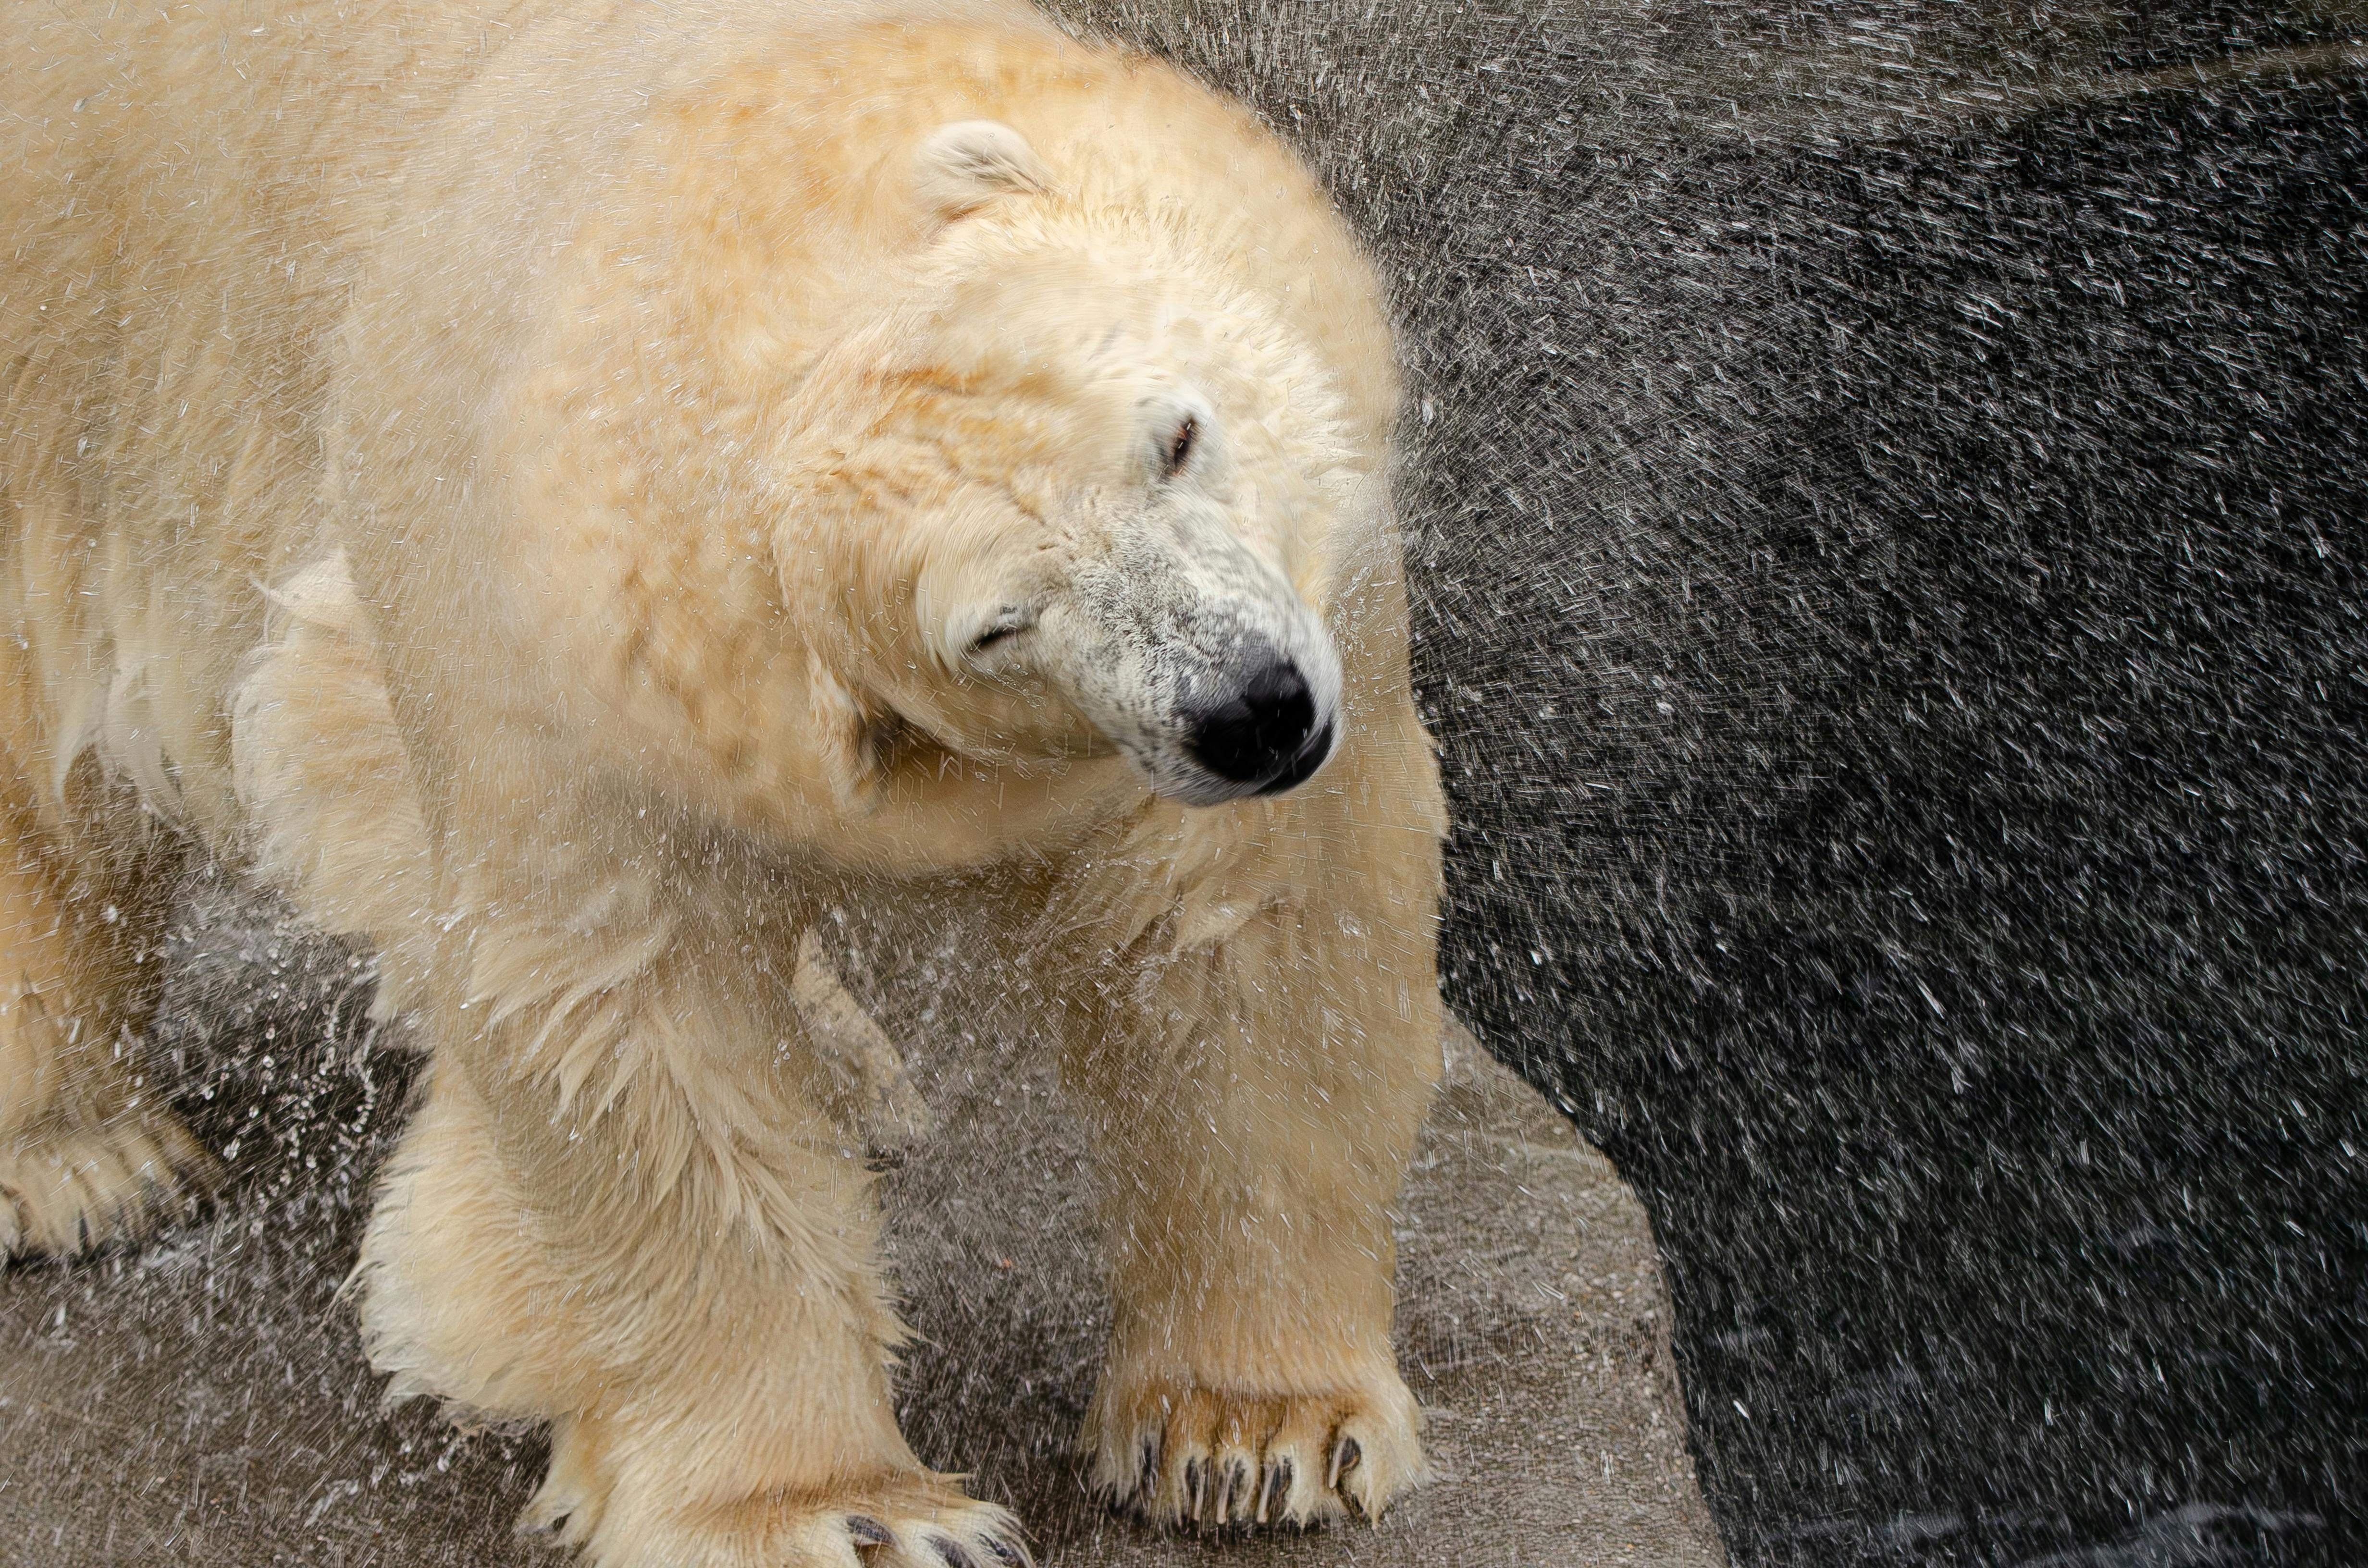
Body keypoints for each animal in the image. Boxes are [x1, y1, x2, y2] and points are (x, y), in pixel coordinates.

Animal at [0, 6, 1449, 1563]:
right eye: (996, 624)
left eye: (1174, 435)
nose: (1252, 710)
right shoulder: (558, 665)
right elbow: (638, 1023)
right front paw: (843, 1508)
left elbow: (1245, 930)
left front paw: (1254, 1429)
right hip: (70, 327)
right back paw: (89, 1159)